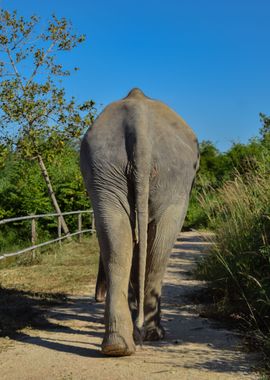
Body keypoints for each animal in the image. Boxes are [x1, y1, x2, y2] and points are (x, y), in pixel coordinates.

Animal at [79, 88, 199, 356]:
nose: (96, 296)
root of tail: (139, 125)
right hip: (170, 177)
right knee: (159, 243)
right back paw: (149, 334)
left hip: (106, 166)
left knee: (117, 236)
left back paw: (118, 345)